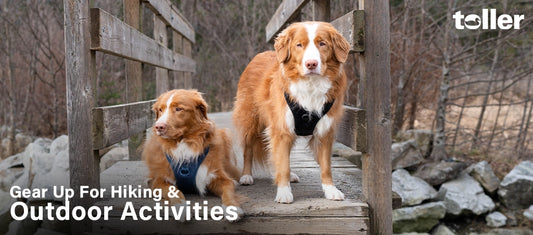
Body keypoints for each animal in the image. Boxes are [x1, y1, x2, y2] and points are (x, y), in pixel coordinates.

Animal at [232, 21, 350, 203]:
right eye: (299, 45)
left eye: (322, 44)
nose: (311, 64)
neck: (310, 85)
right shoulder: (281, 130)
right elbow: (283, 165)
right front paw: (284, 192)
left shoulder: (324, 132)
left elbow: (325, 166)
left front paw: (331, 189)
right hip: (251, 120)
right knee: (248, 149)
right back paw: (246, 176)